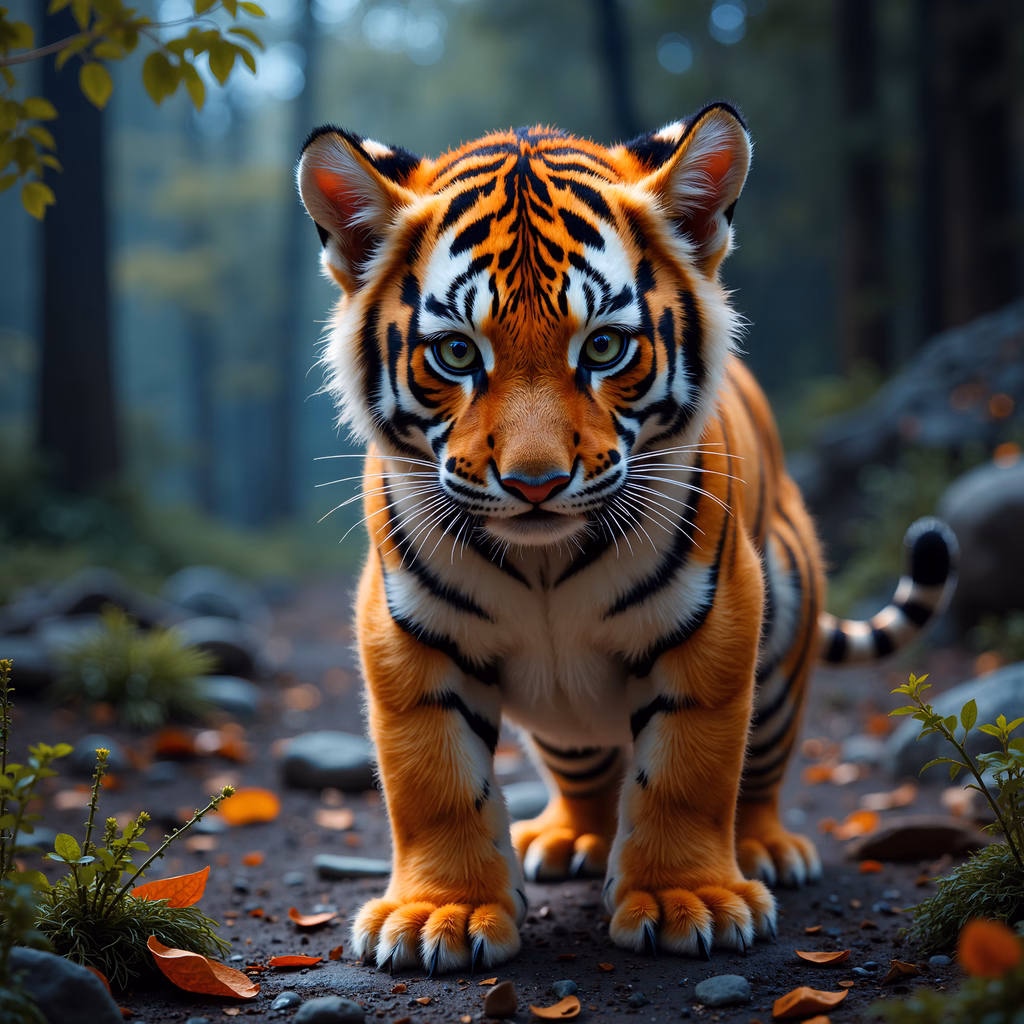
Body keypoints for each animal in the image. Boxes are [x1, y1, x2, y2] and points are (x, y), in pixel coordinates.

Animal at [296, 102, 957, 973]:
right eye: (458, 352)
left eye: (604, 347)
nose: (535, 484)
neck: (544, 562)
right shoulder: (409, 639)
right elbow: (433, 784)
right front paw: (443, 912)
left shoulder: (716, 624)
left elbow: (688, 774)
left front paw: (689, 900)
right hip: (565, 722)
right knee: (586, 774)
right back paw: (568, 838)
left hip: (782, 640)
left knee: (762, 764)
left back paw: (766, 849)